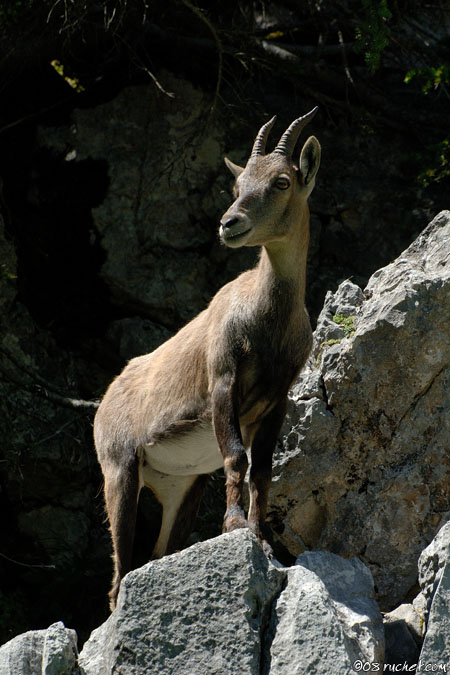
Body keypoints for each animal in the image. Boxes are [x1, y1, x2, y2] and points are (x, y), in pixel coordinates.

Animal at [94, 109, 321, 609]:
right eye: (238, 185)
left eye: (280, 181)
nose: (228, 223)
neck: (266, 319)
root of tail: (104, 401)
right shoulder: (223, 380)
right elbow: (236, 458)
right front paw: (235, 526)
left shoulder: (277, 400)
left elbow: (262, 473)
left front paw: (261, 538)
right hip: (120, 468)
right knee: (118, 569)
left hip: (181, 484)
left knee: (159, 551)